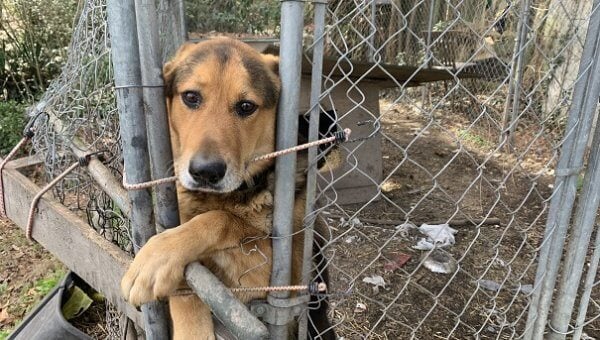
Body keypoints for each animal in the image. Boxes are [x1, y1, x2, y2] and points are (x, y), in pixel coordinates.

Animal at [120, 35, 338, 338]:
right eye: (191, 97)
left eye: (246, 106)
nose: (206, 172)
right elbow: (189, 288)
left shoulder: (282, 280)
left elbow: (221, 219)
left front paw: (155, 259)